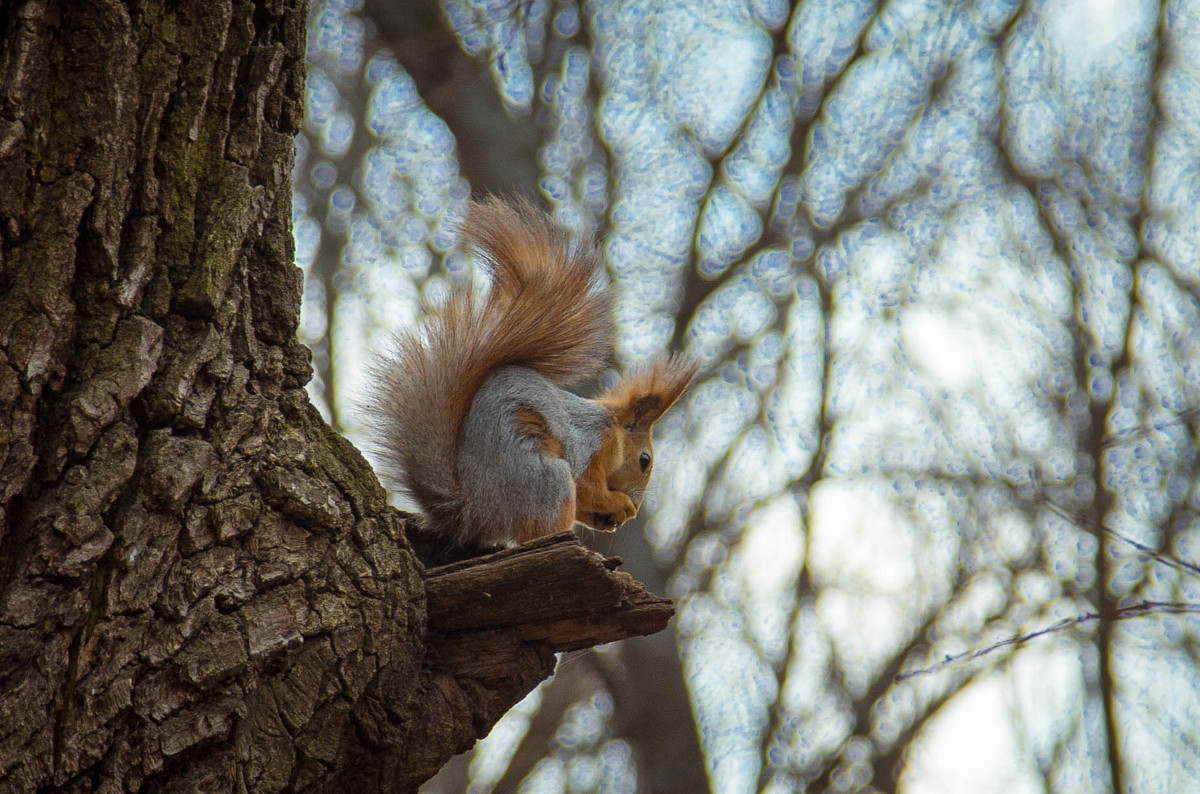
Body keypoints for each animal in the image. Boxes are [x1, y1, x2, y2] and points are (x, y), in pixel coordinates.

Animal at [369, 195, 700, 551]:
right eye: (644, 460)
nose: (636, 508)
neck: (610, 426)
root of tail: (471, 510)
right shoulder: (589, 445)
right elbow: (587, 487)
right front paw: (617, 504)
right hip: (546, 481)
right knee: (542, 527)